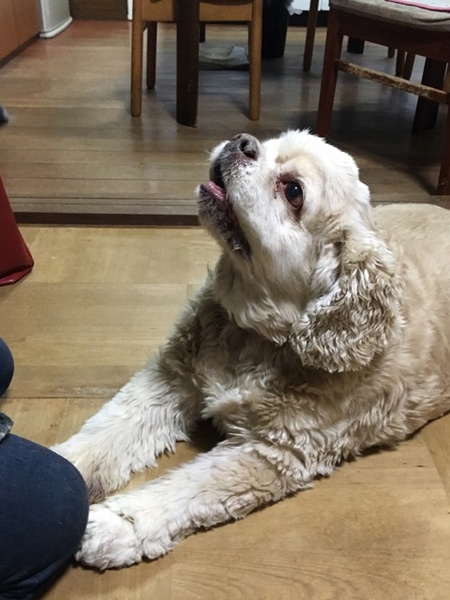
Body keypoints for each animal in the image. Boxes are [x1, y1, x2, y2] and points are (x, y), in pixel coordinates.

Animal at [53, 130, 450, 570]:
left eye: (293, 191)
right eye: (271, 142)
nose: (241, 142)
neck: (255, 337)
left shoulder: (276, 451)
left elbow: (195, 485)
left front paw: (118, 524)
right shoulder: (170, 379)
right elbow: (108, 432)